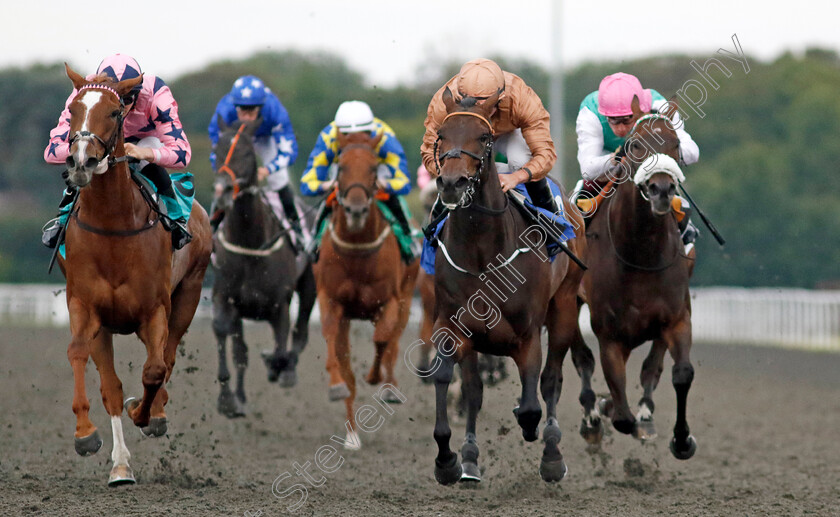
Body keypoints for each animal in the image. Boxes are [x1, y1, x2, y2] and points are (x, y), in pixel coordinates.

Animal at [57, 63, 212, 484]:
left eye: (115, 112)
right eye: (73, 110)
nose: (81, 162)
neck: (113, 225)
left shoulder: (153, 310)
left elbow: (155, 369)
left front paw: (144, 413)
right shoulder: (86, 307)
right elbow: (83, 359)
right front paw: (86, 436)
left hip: (188, 295)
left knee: (167, 357)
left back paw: (154, 412)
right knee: (112, 382)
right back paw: (121, 461)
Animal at [210, 116, 316, 416]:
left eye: (246, 153)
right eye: (217, 150)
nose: (222, 191)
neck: (251, 243)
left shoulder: (279, 305)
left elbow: (281, 347)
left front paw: (276, 366)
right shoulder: (225, 297)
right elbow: (228, 339)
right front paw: (228, 399)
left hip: (310, 286)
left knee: (300, 333)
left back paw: (286, 371)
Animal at [314, 129, 418, 448]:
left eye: (374, 168)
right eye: (340, 167)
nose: (357, 209)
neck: (358, 249)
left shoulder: (390, 301)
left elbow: (382, 340)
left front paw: (377, 379)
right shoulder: (331, 300)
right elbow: (331, 339)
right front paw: (336, 386)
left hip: (407, 298)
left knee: (393, 343)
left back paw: (389, 387)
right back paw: (351, 433)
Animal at [426, 88, 596, 484]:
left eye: (483, 137)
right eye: (441, 135)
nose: (452, 184)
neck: (481, 252)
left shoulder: (527, 332)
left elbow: (534, 399)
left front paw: (537, 435)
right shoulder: (453, 326)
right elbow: (454, 383)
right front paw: (450, 460)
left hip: (564, 308)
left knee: (551, 380)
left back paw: (551, 454)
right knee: (474, 390)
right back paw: (471, 459)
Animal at [580, 94, 700, 458]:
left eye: (675, 144)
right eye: (635, 145)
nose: (661, 189)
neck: (640, 253)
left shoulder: (677, 317)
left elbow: (680, 373)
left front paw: (682, 439)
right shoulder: (609, 334)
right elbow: (620, 413)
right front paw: (606, 409)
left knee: (652, 366)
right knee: (581, 358)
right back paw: (593, 416)